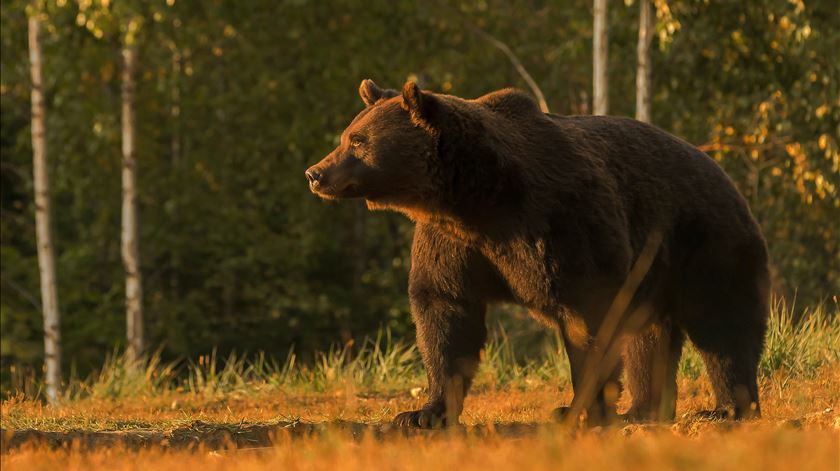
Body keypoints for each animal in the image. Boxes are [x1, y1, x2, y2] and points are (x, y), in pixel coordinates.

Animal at [305, 79, 770, 428]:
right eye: (347, 136)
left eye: (358, 141)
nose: (315, 172)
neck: (477, 199)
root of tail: (722, 173)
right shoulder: (452, 242)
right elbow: (445, 311)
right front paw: (423, 412)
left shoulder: (560, 222)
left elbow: (589, 318)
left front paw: (579, 407)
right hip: (655, 271)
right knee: (650, 336)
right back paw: (644, 410)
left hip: (706, 243)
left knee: (723, 325)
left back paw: (728, 407)